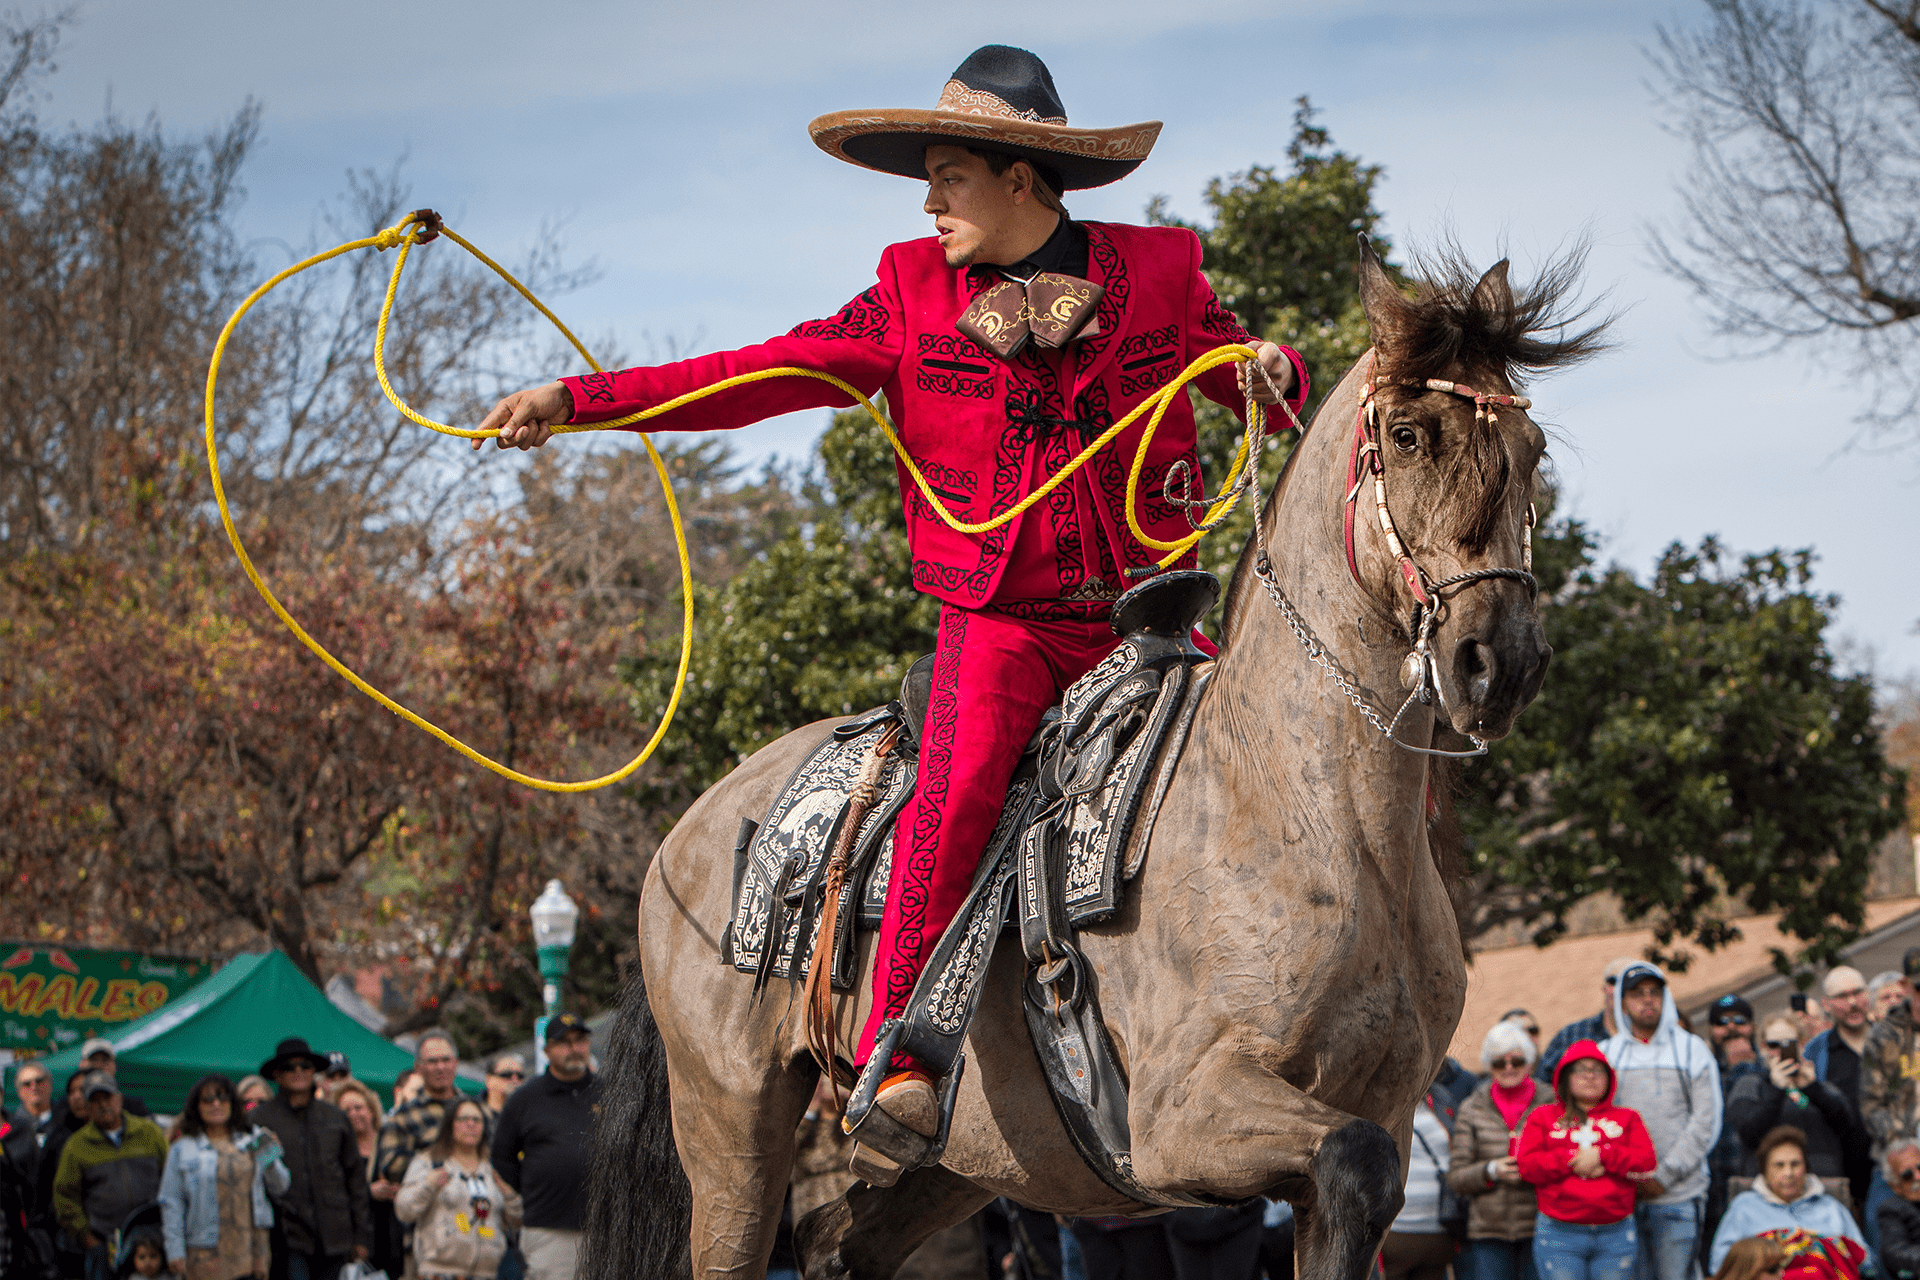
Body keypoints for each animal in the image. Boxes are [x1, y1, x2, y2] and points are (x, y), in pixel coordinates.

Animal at [583, 239, 1605, 1280]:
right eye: (1406, 435)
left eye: (1532, 451)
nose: (1499, 660)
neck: (1309, 817)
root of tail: (692, 835)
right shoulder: (1181, 1117)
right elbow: (1348, 1160)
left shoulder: (1386, 1118)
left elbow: (1362, 1181)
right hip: (732, 1129)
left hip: (965, 1159)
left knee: (837, 1241)